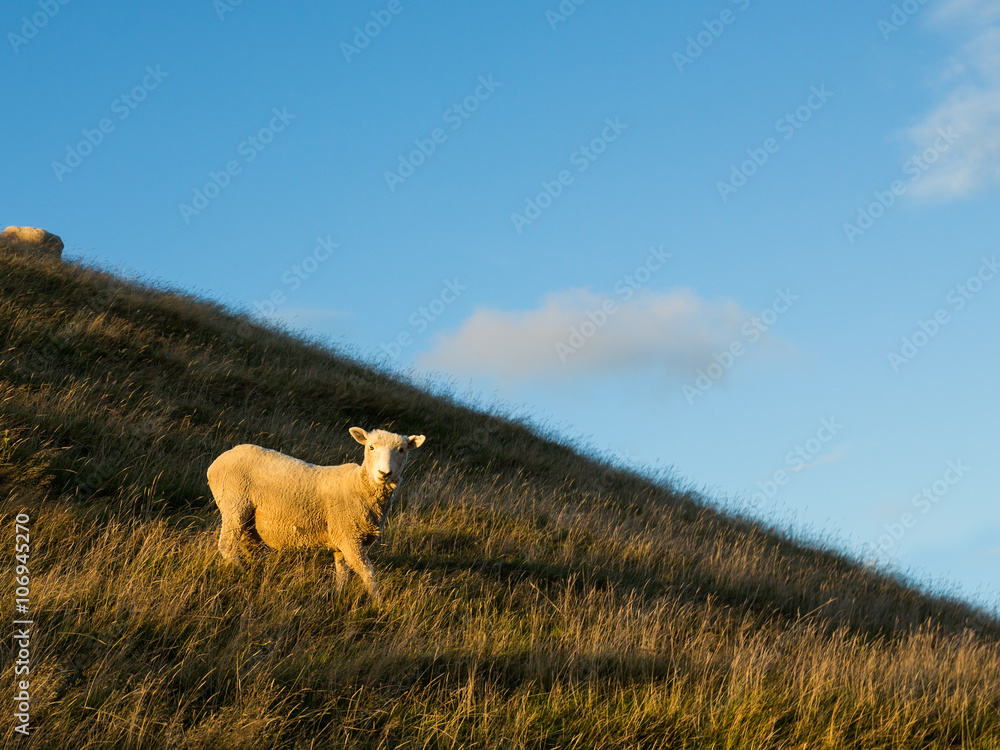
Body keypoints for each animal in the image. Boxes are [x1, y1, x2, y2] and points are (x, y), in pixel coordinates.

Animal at [207, 427, 426, 601]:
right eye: (371, 447)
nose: (384, 473)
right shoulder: (350, 537)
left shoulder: (344, 538)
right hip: (235, 502)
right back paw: (241, 572)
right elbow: (367, 572)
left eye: (401, 450)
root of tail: (220, 459)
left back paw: (253, 569)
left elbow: (342, 570)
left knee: (246, 543)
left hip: (248, 516)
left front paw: (338, 595)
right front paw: (378, 603)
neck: (359, 485)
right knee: (227, 545)